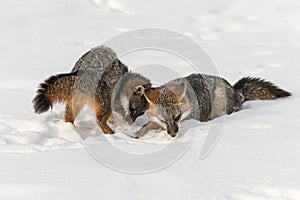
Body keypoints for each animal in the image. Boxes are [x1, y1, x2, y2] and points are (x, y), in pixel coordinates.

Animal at [128, 73, 290, 138]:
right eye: (163, 120)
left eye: (177, 117)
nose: (173, 135)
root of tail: (236, 91)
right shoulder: (156, 122)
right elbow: (146, 127)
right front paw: (135, 136)